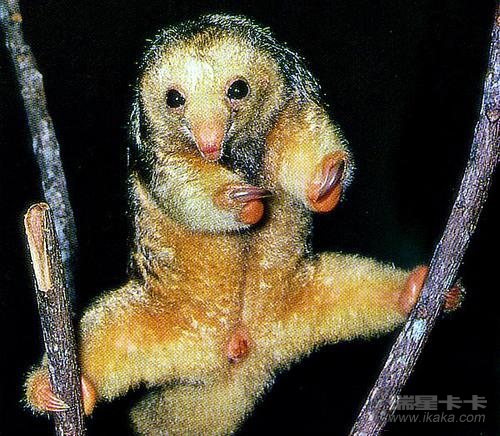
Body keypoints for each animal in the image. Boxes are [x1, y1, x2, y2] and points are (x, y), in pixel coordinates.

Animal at [25, 14, 462, 435]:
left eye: (238, 90)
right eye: (174, 99)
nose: (209, 144)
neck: (236, 154)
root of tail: (239, 350)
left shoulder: (292, 106)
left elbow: (305, 147)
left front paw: (327, 182)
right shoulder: (157, 154)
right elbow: (182, 188)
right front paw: (241, 201)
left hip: (299, 301)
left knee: (350, 287)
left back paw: (410, 292)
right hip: (159, 319)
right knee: (102, 336)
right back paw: (54, 388)